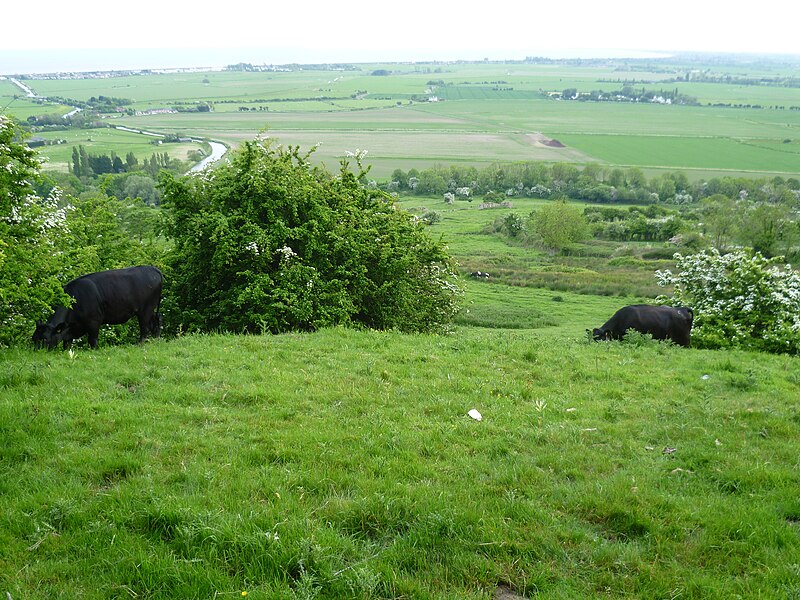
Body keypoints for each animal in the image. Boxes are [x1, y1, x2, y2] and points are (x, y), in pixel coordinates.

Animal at [32, 266, 163, 350]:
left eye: (45, 339)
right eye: (34, 339)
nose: (37, 353)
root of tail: (153, 268)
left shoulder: (94, 322)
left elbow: (92, 341)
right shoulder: (71, 329)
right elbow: (67, 344)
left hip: (145, 310)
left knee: (144, 328)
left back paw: (140, 345)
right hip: (151, 309)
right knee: (156, 322)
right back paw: (156, 341)